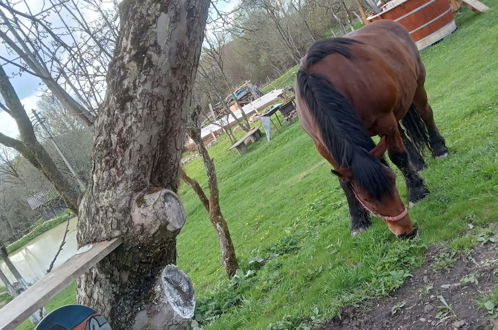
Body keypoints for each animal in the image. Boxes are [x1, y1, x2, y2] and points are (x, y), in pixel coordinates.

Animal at [296, 20, 448, 237]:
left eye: (393, 181)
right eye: (366, 198)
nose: (406, 231)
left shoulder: (385, 121)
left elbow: (398, 157)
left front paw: (417, 191)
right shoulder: (323, 147)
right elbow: (343, 182)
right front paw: (358, 221)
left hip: (417, 89)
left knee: (426, 114)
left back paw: (439, 148)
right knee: (403, 135)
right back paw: (418, 163)